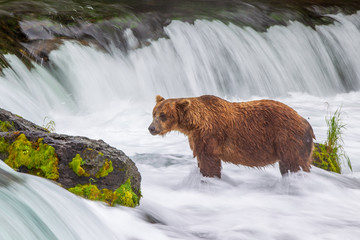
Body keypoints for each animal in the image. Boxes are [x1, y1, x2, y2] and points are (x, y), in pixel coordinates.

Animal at [148, 94, 314, 177]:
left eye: (163, 115)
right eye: (154, 113)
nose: (151, 128)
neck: (195, 124)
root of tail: (305, 121)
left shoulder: (210, 136)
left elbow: (209, 162)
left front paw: (209, 177)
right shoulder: (196, 138)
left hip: (287, 138)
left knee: (294, 164)